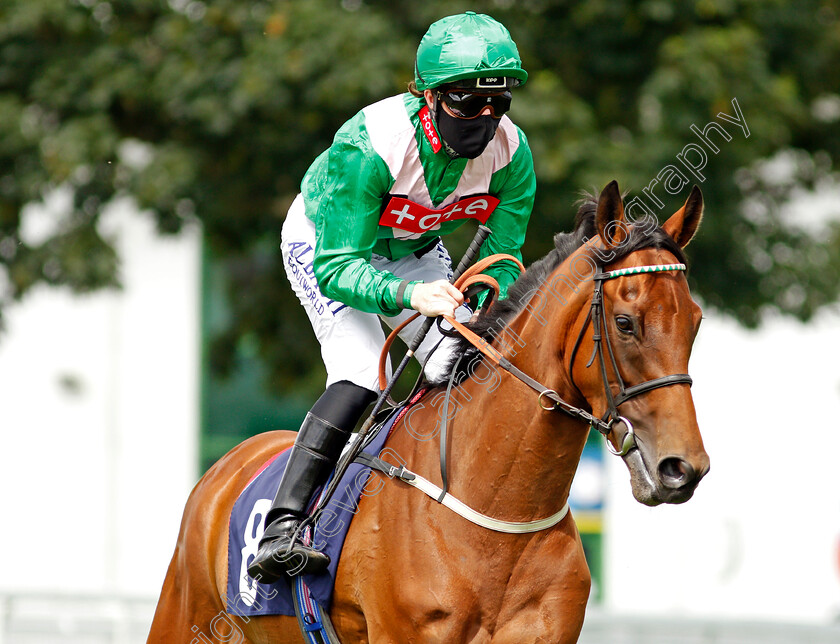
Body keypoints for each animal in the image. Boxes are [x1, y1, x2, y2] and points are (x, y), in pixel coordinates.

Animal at [149, 181, 708, 644]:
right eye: (625, 322)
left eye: (696, 321)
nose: (683, 468)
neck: (498, 513)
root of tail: (229, 463)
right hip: (181, 616)